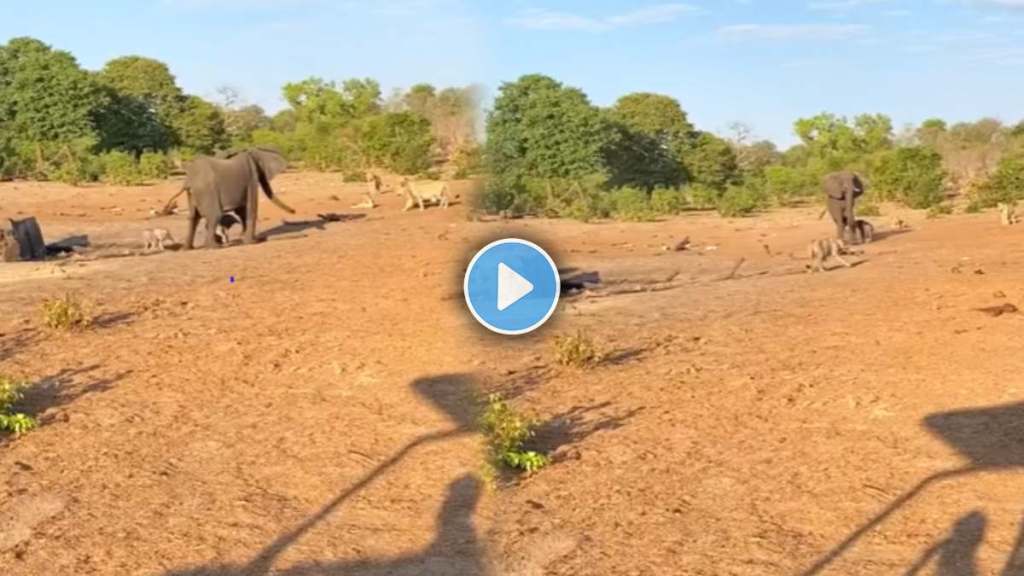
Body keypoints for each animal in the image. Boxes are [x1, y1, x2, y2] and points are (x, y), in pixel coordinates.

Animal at [160, 148, 295, 249]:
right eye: (260, 172)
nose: (294, 211)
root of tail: (189, 180)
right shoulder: (251, 178)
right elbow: (250, 208)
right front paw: (252, 242)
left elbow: (241, 211)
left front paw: (244, 238)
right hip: (207, 191)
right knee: (214, 215)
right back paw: (213, 247)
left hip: (193, 194)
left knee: (193, 218)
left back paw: (187, 248)